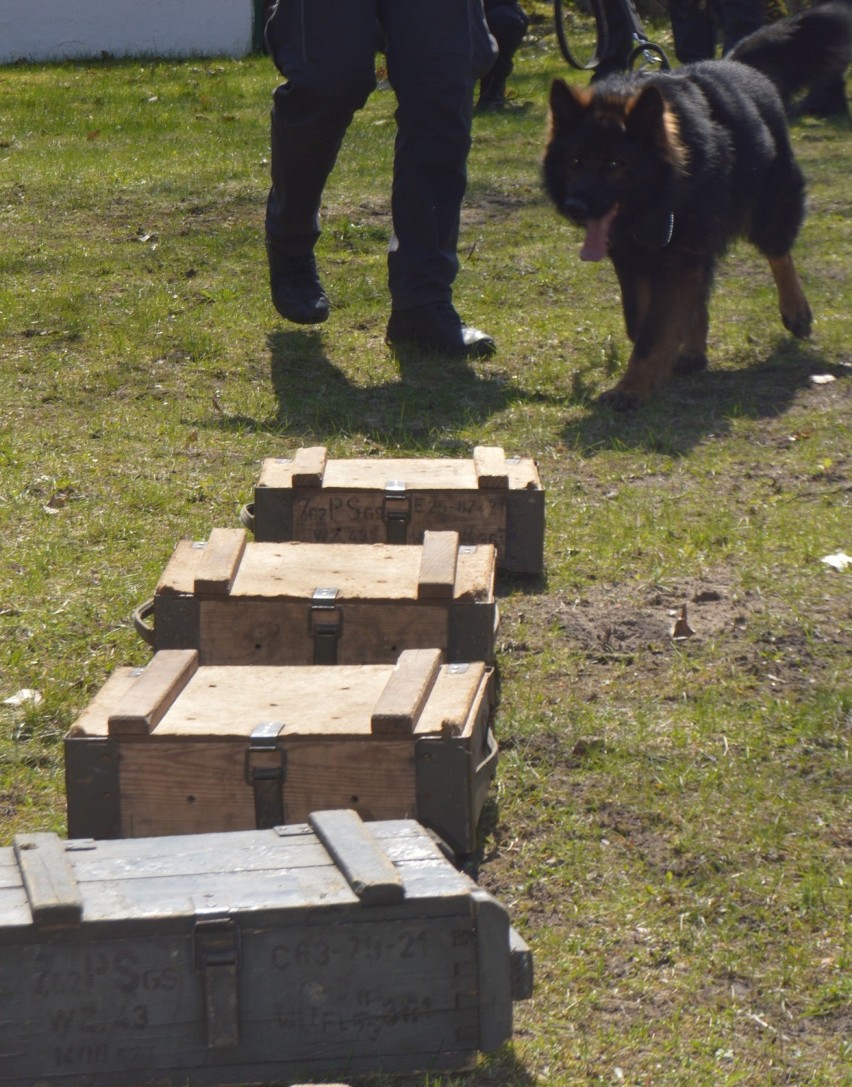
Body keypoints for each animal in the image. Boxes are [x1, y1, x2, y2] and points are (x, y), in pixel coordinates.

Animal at [545, 2, 851, 408]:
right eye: (575, 162)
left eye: (613, 165)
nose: (575, 206)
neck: (662, 191)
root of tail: (737, 63)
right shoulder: (631, 255)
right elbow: (641, 319)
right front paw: (654, 367)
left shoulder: (678, 252)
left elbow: (655, 330)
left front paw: (631, 388)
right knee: (703, 291)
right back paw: (692, 351)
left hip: (768, 201)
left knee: (778, 250)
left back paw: (795, 309)